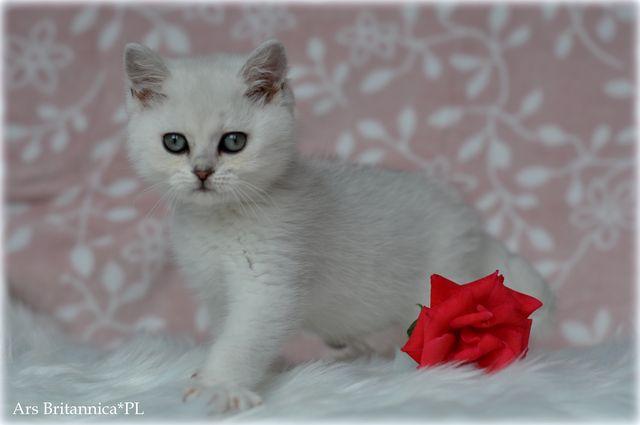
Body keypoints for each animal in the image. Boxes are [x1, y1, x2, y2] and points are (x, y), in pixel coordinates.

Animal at [123, 39, 555, 413]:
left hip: (442, 284)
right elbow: (230, 331)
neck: (218, 219)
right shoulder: (216, 291)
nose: (202, 172)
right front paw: (267, 368)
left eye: (233, 142)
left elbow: (243, 339)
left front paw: (220, 387)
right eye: (175, 142)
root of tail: (473, 225)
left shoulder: (268, 284)